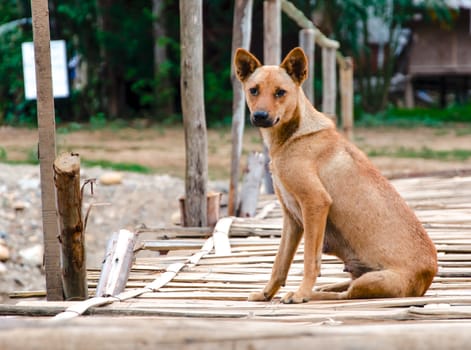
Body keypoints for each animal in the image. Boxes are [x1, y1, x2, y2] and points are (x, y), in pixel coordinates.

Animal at [236, 47, 438, 304]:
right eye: (254, 90)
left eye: (280, 92)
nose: (260, 116)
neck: (293, 136)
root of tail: (428, 275)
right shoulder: (292, 219)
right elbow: (280, 263)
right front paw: (266, 293)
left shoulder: (315, 203)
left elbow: (310, 261)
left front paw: (301, 294)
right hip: (360, 275)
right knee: (341, 287)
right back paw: (322, 288)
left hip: (372, 281)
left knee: (344, 295)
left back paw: (310, 294)